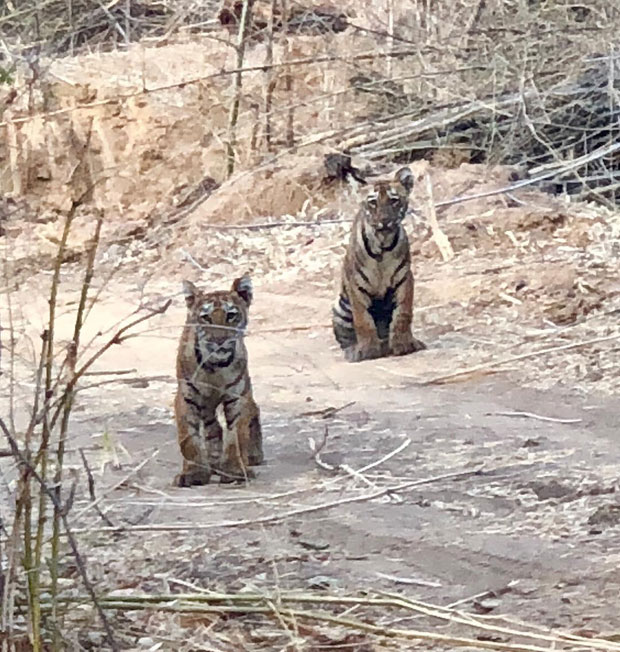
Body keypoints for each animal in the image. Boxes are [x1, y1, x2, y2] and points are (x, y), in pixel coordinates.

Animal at [173, 272, 262, 486]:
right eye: (206, 317)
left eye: (231, 315)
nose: (220, 340)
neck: (215, 366)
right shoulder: (186, 397)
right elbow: (189, 438)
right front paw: (194, 473)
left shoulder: (238, 397)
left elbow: (236, 435)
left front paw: (234, 470)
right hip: (205, 404)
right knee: (212, 428)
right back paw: (213, 461)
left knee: (254, 410)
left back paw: (253, 455)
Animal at [334, 166, 426, 362]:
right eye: (373, 202)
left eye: (394, 200)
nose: (384, 220)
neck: (383, 246)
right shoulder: (355, 284)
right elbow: (362, 319)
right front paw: (368, 350)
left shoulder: (405, 278)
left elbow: (403, 313)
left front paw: (404, 344)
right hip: (340, 306)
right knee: (345, 339)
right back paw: (354, 351)